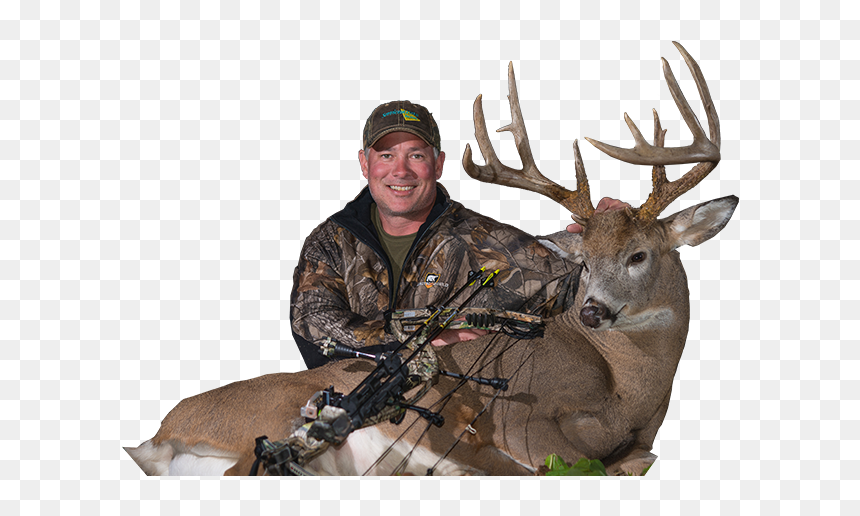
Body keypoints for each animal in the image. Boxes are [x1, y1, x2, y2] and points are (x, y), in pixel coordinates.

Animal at [124, 42, 738, 476]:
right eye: (584, 260)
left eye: (638, 254)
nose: (591, 311)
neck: (629, 391)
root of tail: (157, 435)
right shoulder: (526, 419)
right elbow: (576, 464)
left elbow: (639, 459)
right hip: (278, 410)